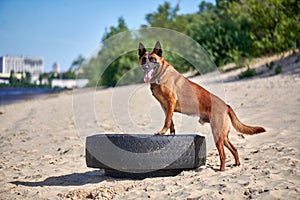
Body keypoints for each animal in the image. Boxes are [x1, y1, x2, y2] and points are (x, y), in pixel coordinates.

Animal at [138, 41, 264, 171]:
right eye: (143, 59)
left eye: (152, 59)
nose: (145, 66)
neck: (160, 74)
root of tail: (226, 106)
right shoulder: (165, 106)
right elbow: (170, 122)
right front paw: (171, 134)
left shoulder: (170, 102)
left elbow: (167, 121)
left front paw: (162, 132)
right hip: (223, 136)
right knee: (234, 149)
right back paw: (236, 164)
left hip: (217, 134)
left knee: (223, 154)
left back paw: (221, 170)